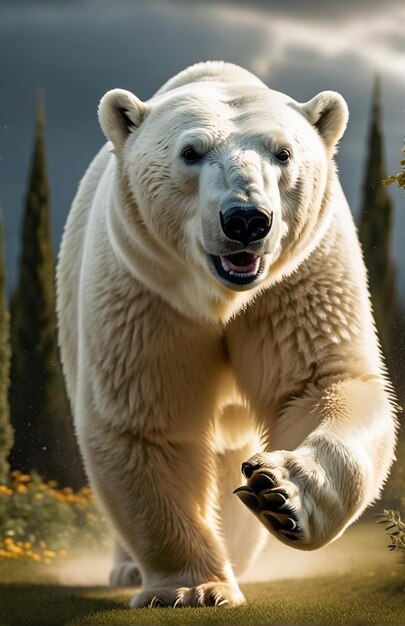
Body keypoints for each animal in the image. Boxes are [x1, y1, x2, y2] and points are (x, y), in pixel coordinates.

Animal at [56, 62, 394, 604]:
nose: (247, 219)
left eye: (283, 152)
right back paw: (131, 568)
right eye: (190, 152)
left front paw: (278, 493)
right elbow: (148, 420)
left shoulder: (298, 277)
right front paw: (194, 587)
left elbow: (322, 383)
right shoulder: (147, 289)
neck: (222, 296)